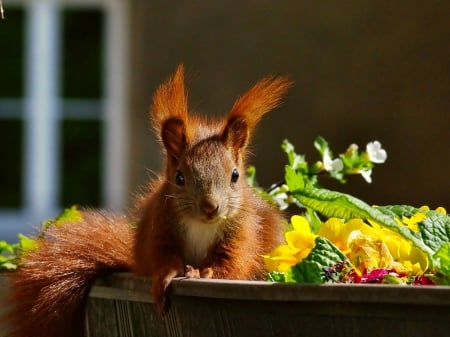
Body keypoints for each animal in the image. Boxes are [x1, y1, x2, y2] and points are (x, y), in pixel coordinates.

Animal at [2, 65, 292, 336]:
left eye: (235, 175)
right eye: (179, 177)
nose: (211, 207)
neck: (202, 225)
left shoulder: (242, 232)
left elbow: (232, 264)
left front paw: (205, 273)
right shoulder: (160, 227)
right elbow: (163, 259)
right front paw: (170, 276)